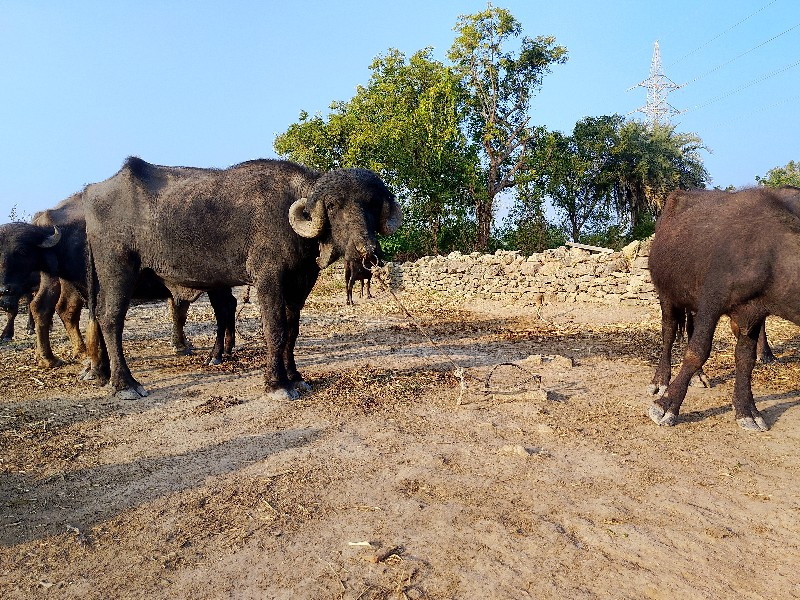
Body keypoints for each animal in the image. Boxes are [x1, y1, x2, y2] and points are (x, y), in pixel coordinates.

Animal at [83, 157, 400, 400]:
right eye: (333, 205)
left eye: (372, 204)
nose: (366, 250)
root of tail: (90, 194)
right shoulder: (268, 278)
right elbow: (275, 329)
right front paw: (277, 384)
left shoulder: (301, 283)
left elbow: (292, 330)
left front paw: (295, 376)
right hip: (117, 269)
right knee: (110, 318)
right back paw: (125, 383)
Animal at [648, 188, 800, 432]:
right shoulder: (712, 302)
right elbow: (697, 351)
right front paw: (666, 406)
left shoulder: (753, 314)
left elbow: (746, 360)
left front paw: (747, 411)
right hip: (667, 294)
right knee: (669, 333)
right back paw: (660, 381)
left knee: (689, 330)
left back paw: (698, 377)